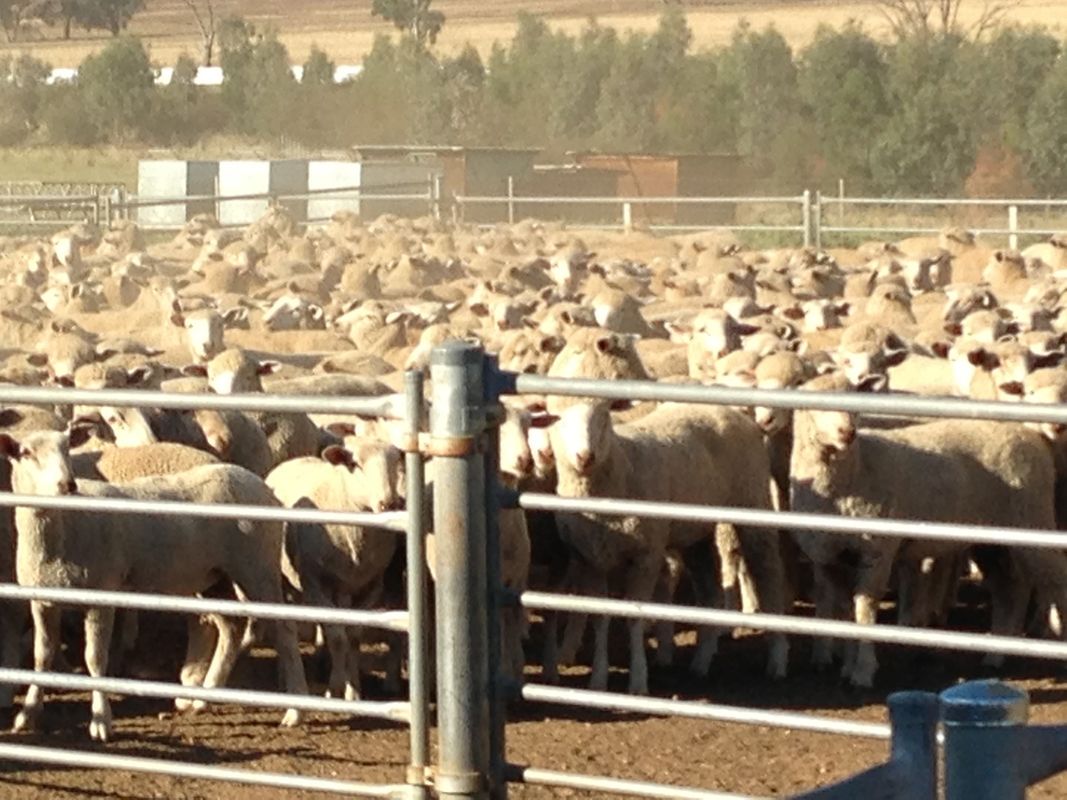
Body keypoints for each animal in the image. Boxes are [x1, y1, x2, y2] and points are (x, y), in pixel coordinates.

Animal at [2, 428, 309, 740]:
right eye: (26, 453)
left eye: (67, 449)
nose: (67, 484)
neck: (63, 529)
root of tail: (261, 484)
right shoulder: (41, 601)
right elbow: (42, 656)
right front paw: (27, 715)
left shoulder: (101, 594)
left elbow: (94, 658)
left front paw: (101, 721)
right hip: (214, 577)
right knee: (230, 627)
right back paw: (203, 697)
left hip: (257, 567)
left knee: (284, 630)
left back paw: (294, 711)